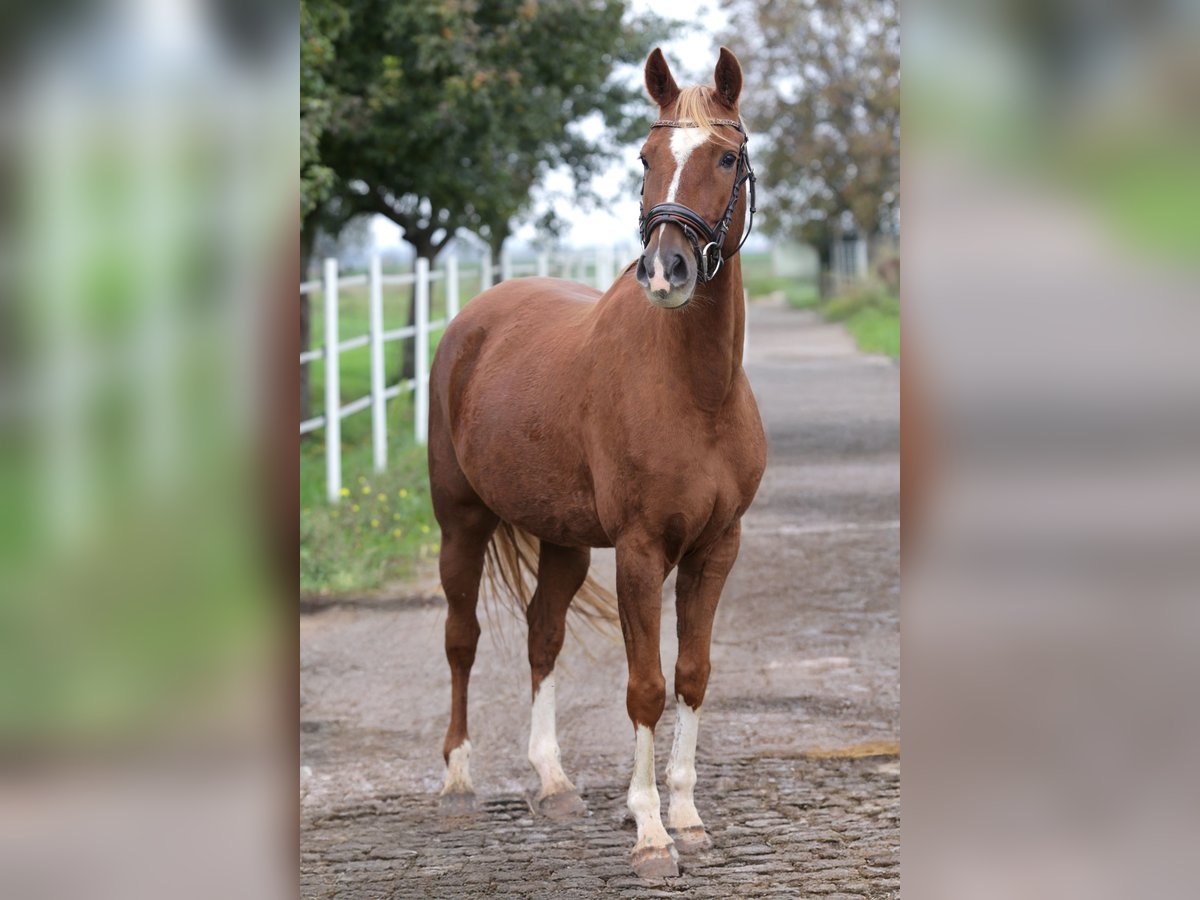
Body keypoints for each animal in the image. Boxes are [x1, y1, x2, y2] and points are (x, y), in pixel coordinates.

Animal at [432, 49, 763, 883]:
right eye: (645, 157)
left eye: (727, 157)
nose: (667, 270)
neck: (695, 390)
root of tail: (473, 321)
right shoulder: (641, 553)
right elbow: (645, 687)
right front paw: (649, 832)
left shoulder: (717, 549)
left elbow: (692, 676)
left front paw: (688, 817)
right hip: (461, 522)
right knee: (461, 640)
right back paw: (458, 782)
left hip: (563, 540)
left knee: (542, 635)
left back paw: (553, 784)